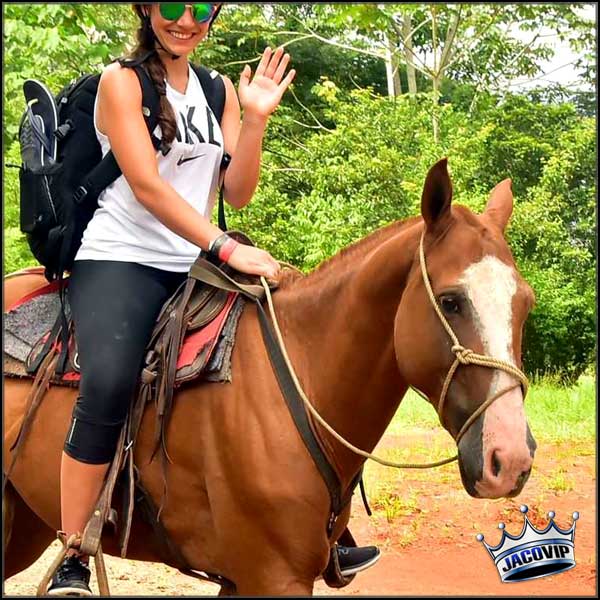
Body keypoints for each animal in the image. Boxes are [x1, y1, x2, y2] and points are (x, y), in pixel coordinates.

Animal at [2, 159, 536, 596]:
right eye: (451, 301)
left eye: (525, 303)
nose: (508, 459)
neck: (303, 376)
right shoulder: (273, 576)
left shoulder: (245, 578)